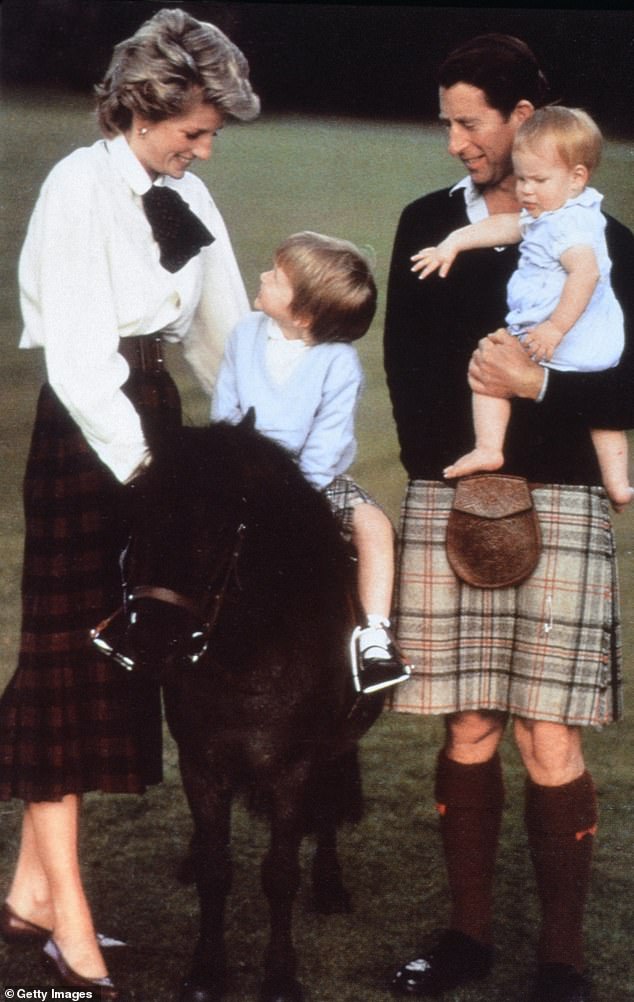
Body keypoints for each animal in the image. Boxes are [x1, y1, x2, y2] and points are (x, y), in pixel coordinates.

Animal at [101, 416, 382, 1002]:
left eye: (220, 529)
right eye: (139, 516)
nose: (151, 641)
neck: (247, 650)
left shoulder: (292, 768)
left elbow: (279, 874)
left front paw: (279, 976)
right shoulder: (201, 765)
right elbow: (215, 870)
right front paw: (207, 970)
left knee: (325, 809)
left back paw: (329, 885)